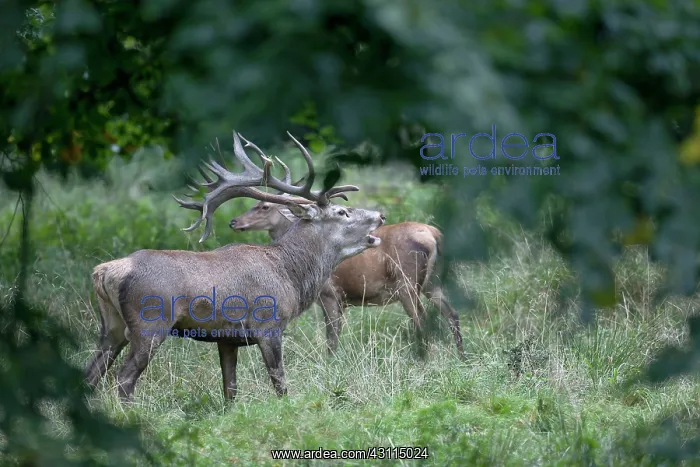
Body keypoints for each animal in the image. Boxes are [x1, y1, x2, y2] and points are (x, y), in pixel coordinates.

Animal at [84, 131, 385, 402]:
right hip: (149, 322)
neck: (291, 275)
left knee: (90, 374)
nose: (380, 215)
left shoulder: (227, 338)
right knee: (124, 378)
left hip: (111, 325)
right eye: (342, 212)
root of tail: (104, 271)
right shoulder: (268, 325)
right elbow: (280, 384)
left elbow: (230, 390)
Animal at [228, 188, 465, 359]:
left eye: (264, 206)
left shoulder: (331, 294)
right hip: (432, 282)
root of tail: (435, 235)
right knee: (452, 314)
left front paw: (329, 365)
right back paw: (461, 357)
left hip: (407, 283)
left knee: (422, 320)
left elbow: (332, 339)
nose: (234, 221)